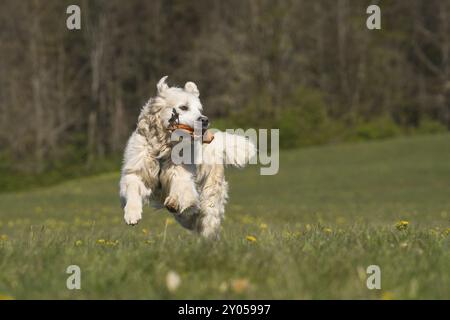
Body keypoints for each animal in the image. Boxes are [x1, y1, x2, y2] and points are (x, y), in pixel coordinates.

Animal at [118, 77, 256, 238]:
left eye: (199, 110)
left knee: (206, 218)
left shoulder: (182, 176)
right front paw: (131, 214)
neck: (164, 148)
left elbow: (183, 192)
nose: (205, 120)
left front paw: (174, 201)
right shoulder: (136, 171)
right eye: (183, 107)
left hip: (210, 195)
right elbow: (132, 188)